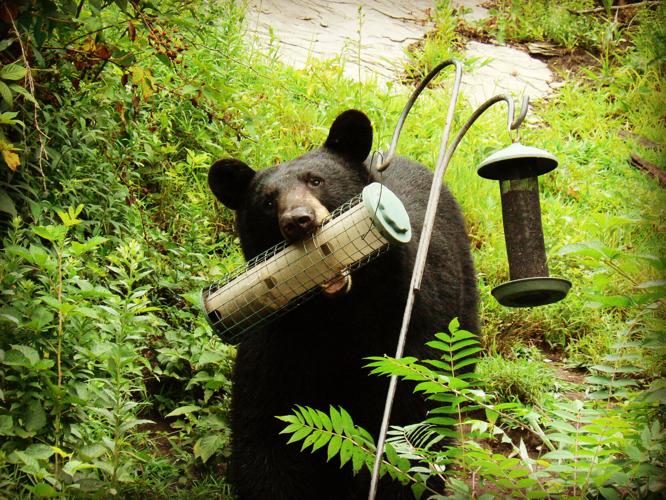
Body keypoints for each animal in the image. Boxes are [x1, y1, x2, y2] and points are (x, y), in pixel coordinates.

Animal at [208, 109, 479, 499]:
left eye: (316, 180)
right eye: (268, 201)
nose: (299, 220)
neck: (337, 316)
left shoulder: (408, 320)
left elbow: (410, 417)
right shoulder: (278, 340)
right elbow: (268, 426)